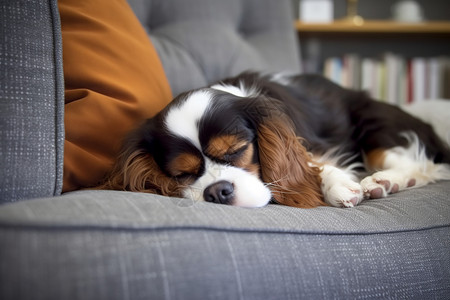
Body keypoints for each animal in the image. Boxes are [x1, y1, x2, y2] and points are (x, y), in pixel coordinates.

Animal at [99, 72, 450, 209]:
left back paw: (383, 181)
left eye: (237, 151)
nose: (217, 191)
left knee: (415, 161)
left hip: (372, 120)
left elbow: (313, 162)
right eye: (181, 174)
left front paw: (338, 185)